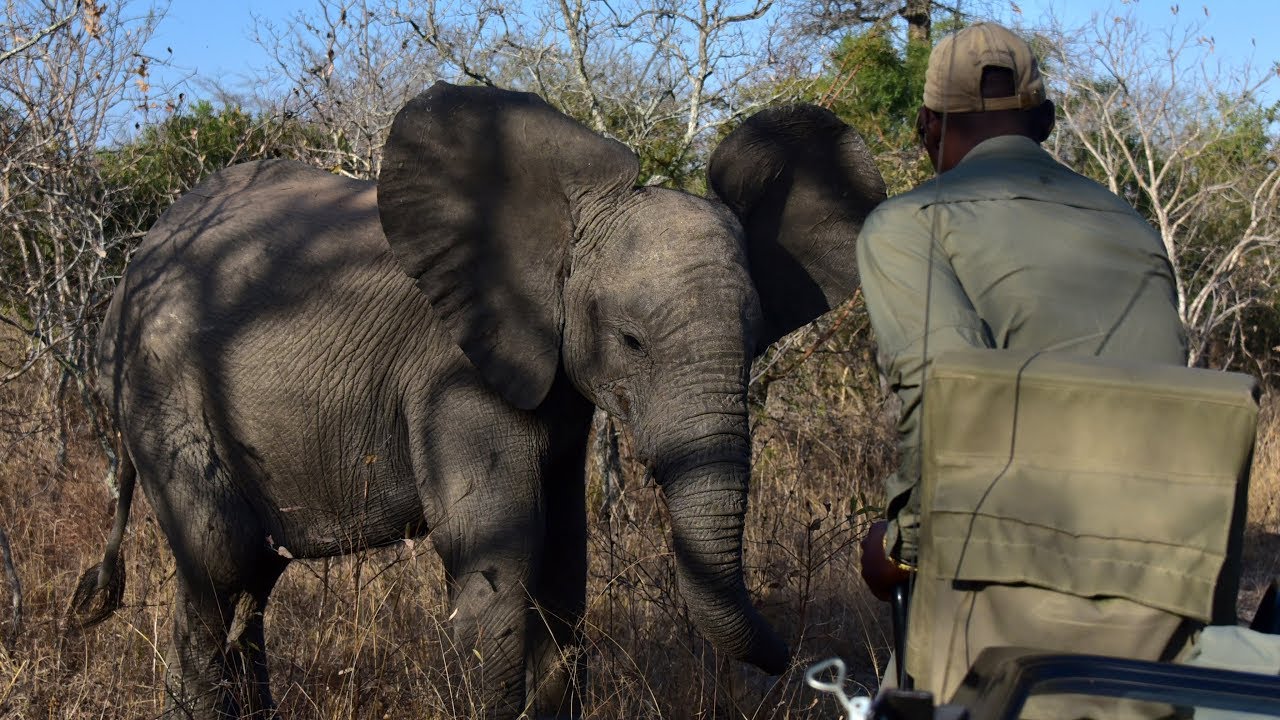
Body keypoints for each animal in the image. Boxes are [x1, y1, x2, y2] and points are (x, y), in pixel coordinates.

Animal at [68, 82, 885, 718]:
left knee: (249, 587)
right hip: (162, 393)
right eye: (630, 341)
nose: (810, 662)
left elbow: (563, 560)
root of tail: (127, 278)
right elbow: (503, 557)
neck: (555, 231)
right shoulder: (453, 375)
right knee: (219, 568)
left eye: (753, 341)